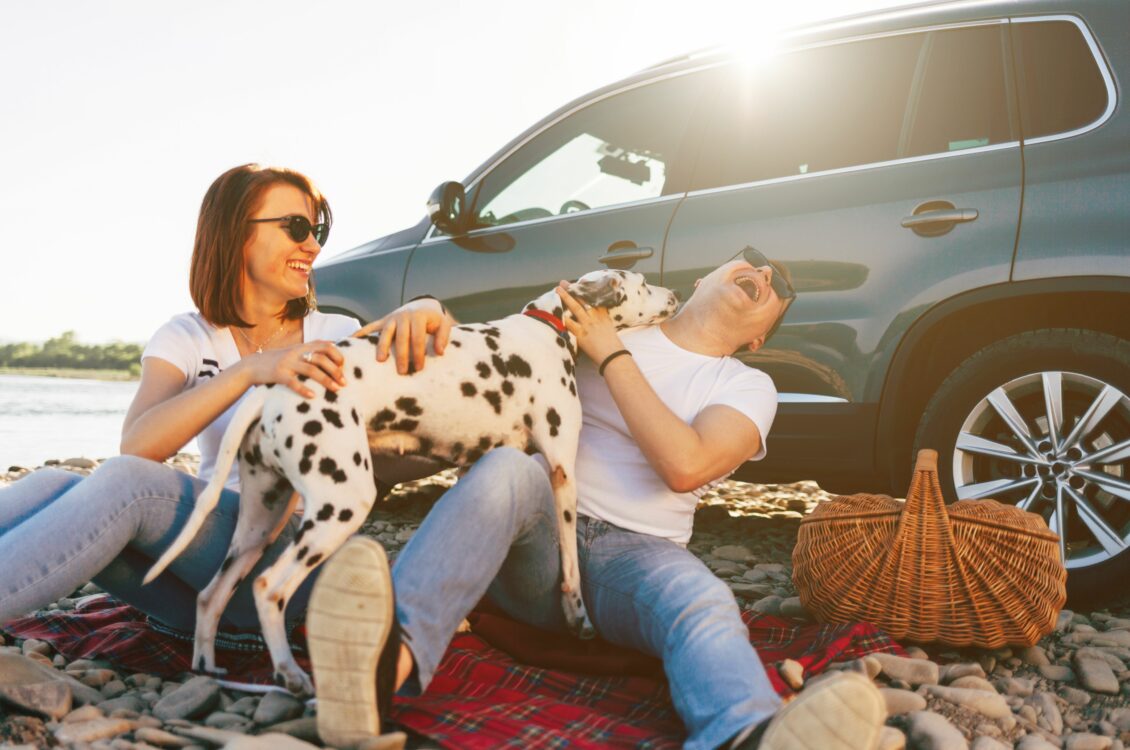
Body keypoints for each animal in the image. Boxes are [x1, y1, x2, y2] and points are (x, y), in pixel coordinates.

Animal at [148, 269, 678, 695]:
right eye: (642, 283)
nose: (674, 293)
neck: (547, 327)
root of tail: (273, 388)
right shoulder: (562, 470)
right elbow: (569, 564)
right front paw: (577, 617)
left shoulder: (476, 470)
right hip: (340, 507)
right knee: (268, 588)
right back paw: (290, 674)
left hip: (260, 522)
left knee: (210, 596)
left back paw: (207, 669)